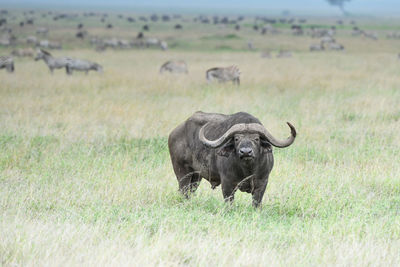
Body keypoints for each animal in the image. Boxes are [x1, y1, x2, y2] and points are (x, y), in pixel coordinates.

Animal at [167, 111, 296, 207]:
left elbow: (256, 203)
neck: (248, 170)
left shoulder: (262, 183)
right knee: (183, 191)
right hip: (182, 172)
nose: (246, 152)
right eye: (236, 139)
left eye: (256, 139)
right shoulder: (227, 184)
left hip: (196, 176)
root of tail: (174, 133)